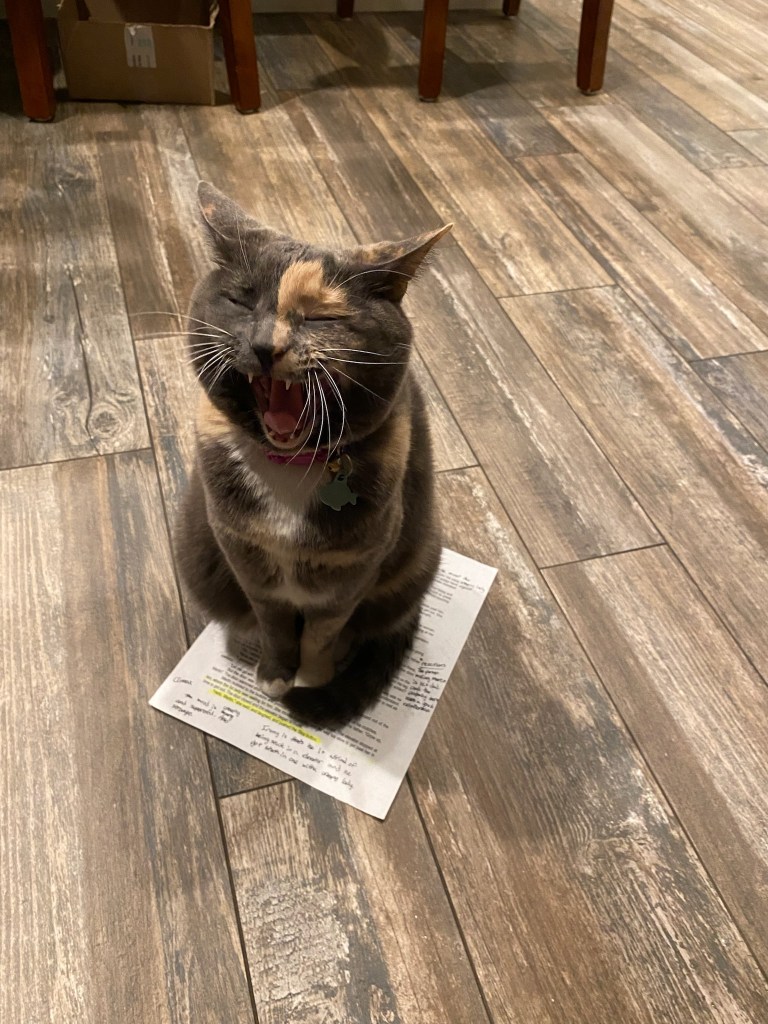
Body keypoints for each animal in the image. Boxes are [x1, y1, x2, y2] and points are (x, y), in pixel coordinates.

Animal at [175, 181, 451, 726]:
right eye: (242, 300)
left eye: (324, 317)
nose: (266, 345)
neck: (290, 468)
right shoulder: (240, 550)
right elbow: (274, 619)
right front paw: (275, 673)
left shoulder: (356, 568)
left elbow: (324, 630)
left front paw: (314, 676)